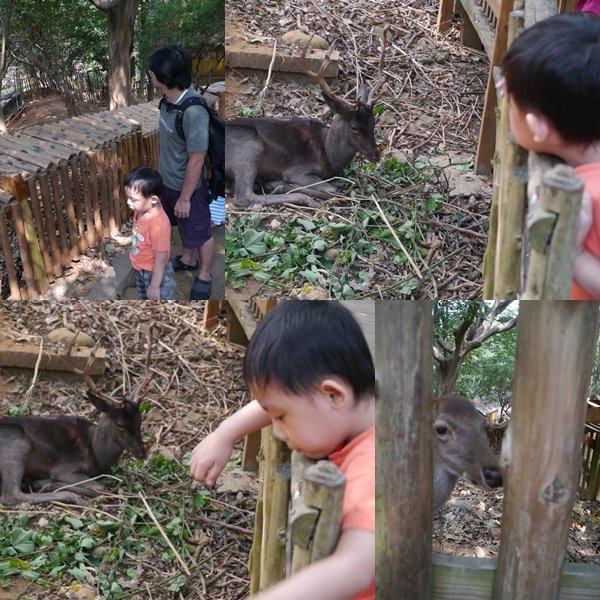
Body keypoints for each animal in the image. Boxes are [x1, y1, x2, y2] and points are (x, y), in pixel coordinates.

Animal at [0, 332, 155, 506]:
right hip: (15, 447)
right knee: (11, 495)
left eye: (140, 420)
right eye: (120, 424)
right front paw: (50, 484)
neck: (96, 454)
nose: (142, 453)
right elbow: (102, 487)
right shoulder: (65, 468)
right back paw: (68, 495)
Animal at [226, 36, 390, 209]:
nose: (375, 155)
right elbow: (333, 189)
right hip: (248, 149)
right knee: (244, 196)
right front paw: (283, 186)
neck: (329, 156)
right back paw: (301, 197)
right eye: (354, 127)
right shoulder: (297, 170)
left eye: (374, 123)